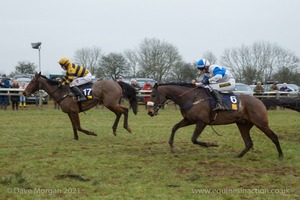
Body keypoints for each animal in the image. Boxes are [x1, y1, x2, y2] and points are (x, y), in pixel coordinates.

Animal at [148, 83, 284, 158]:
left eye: (153, 95)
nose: (150, 112)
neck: (191, 98)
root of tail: (259, 101)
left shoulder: (201, 122)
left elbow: (194, 139)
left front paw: (211, 144)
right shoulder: (189, 120)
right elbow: (175, 127)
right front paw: (171, 147)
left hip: (261, 123)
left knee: (274, 137)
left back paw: (280, 155)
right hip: (243, 124)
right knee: (249, 143)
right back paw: (238, 156)